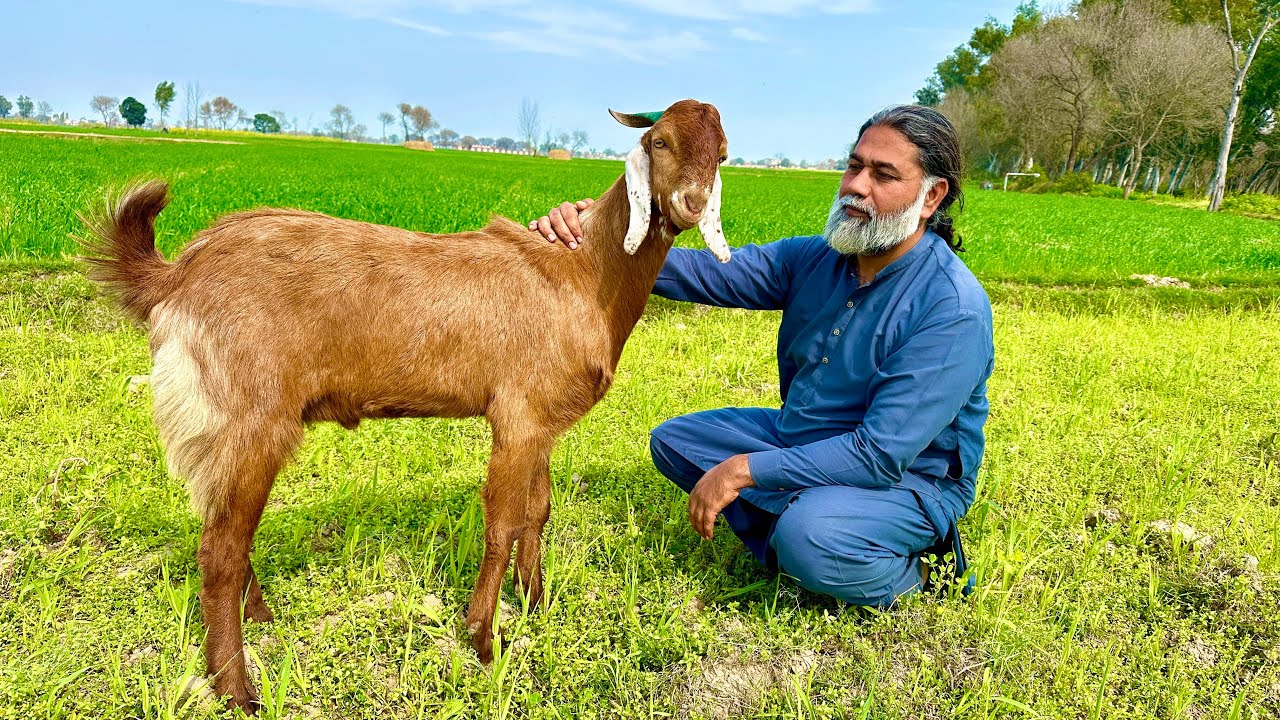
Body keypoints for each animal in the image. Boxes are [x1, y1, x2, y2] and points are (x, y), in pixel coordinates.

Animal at [81, 99, 730, 713]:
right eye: (659, 141)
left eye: (722, 153)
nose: (692, 203)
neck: (585, 274)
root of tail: (177, 275)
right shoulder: (518, 416)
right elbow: (501, 522)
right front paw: (484, 640)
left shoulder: (543, 419)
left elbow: (537, 511)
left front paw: (537, 602)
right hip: (247, 414)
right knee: (219, 549)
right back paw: (237, 690)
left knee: (226, 533)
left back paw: (258, 619)